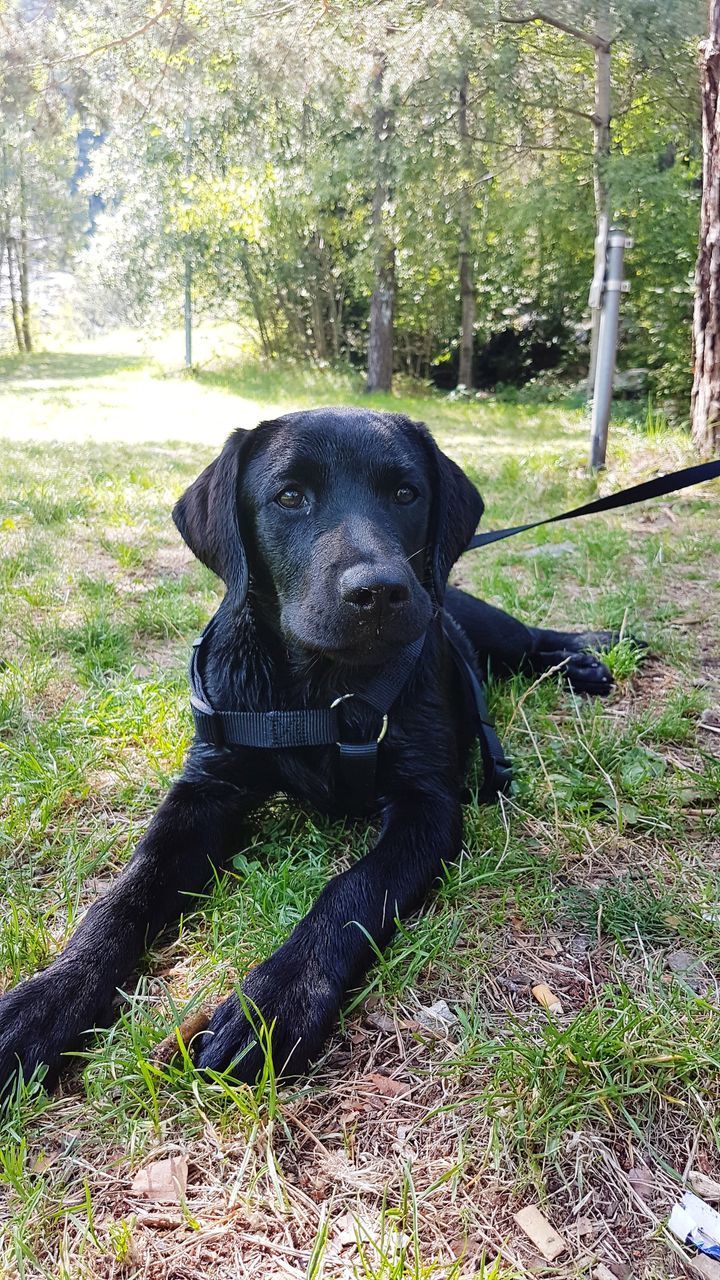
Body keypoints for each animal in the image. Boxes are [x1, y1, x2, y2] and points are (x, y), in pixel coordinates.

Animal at [0, 409, 614, 1090]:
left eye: (406, 493)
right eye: (290, 497)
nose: (380, 592)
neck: (321, 691)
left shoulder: (427, 805)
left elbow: (352, 889)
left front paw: (272, 1002)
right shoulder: (206, 787)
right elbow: (126, 892)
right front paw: (45, 998)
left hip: (482, 627)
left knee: (531, 639)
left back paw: (591, 651)